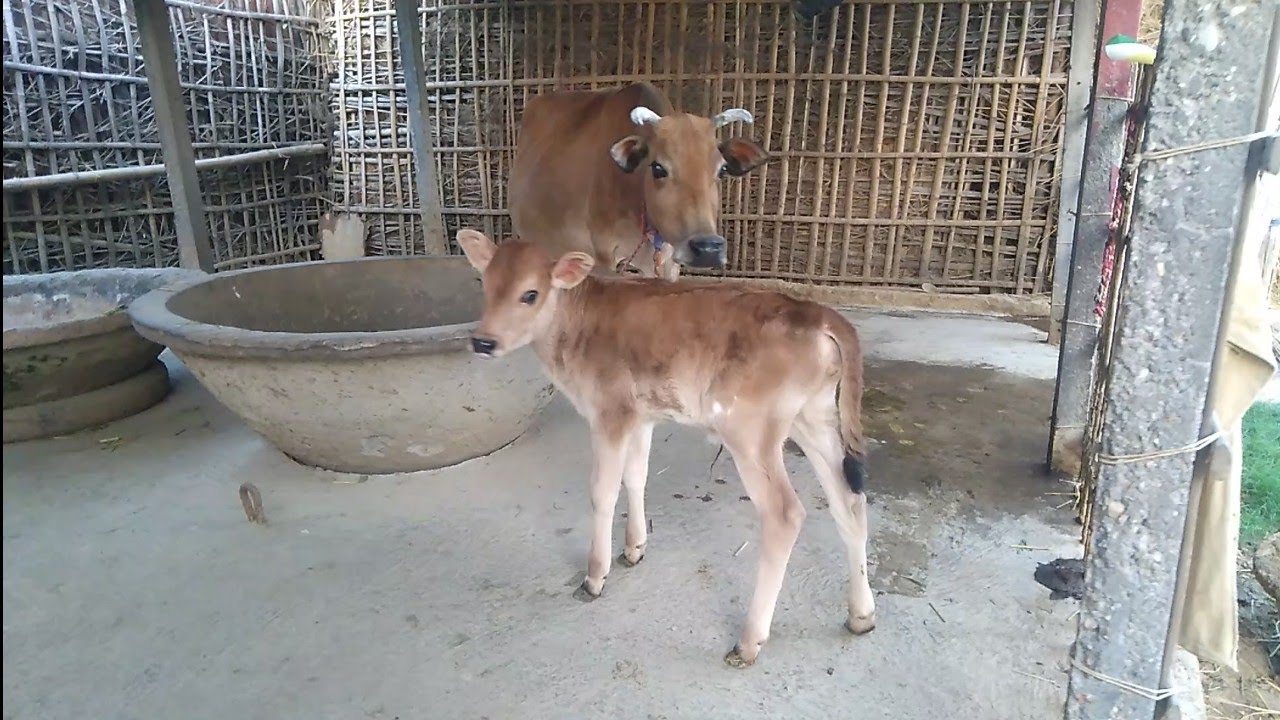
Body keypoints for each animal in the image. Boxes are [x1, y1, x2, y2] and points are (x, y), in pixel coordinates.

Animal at [456, 228, 876, 668]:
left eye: (530, 294)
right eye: (486, 284)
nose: (483, 341)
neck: (577, 321)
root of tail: (818, 313)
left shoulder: (610, 412)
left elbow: (602, 492)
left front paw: (595, 576)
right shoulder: (641, 417)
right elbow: (636, 477)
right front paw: (634, 548)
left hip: (750, 431)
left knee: (785, 514)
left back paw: (748, 641)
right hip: (815, 419)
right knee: (849, 500)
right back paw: (861, 614)